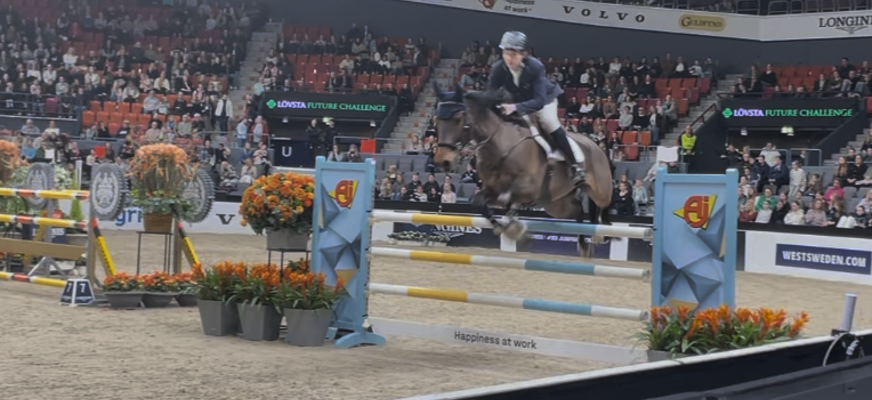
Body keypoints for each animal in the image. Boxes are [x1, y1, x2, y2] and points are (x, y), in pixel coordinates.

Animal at [432, 84, 614, 254]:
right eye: (437, 120)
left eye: (458, 119)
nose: (443, 161)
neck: (500, 146)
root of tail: (595, 146)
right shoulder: (491, 189)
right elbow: (479, 203)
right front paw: (509, 230)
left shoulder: (529, 188)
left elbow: (507, 198)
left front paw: (514, 227)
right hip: (556, 205)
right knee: (578, 212)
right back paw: (583, 245)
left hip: (600, 191)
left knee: (602, 208)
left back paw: (599, 235)